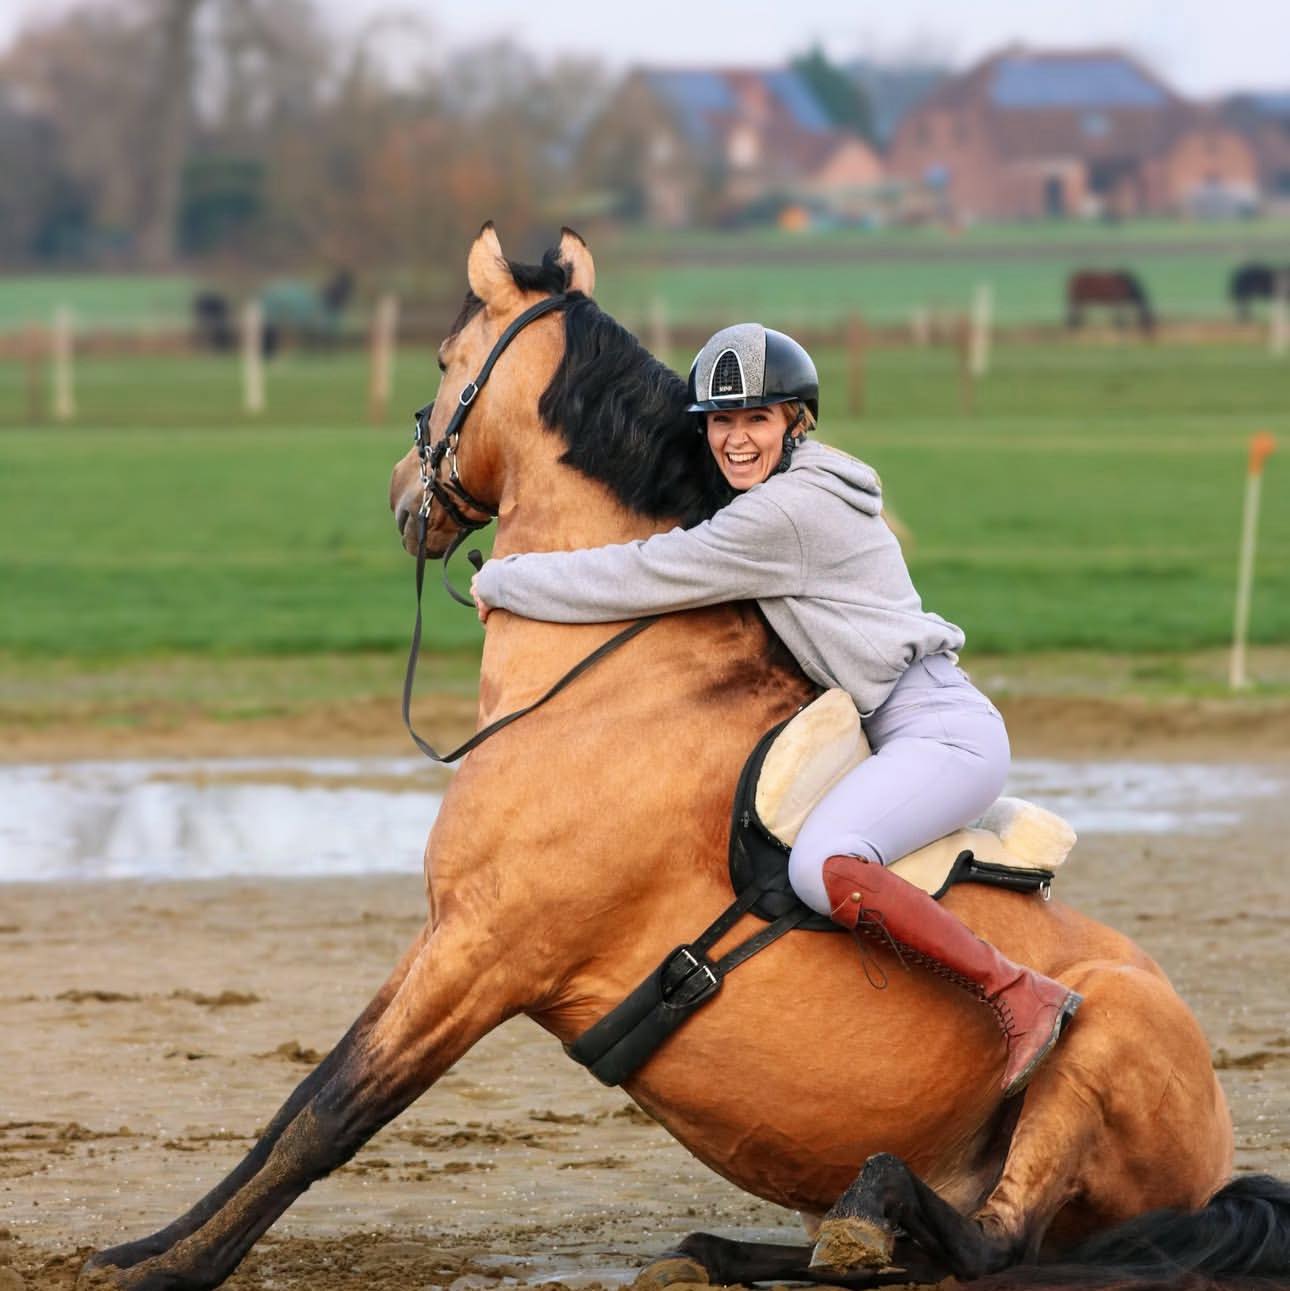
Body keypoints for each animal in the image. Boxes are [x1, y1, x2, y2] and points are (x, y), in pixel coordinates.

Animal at [81, 225, 1288, 1290]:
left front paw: (170, 1269)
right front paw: (139, 1247)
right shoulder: (451, 941)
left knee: (991, 1243)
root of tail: (1217, 1156)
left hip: (1102, 1050)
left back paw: (874, 1206)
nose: (398, 495)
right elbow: (296, 1111)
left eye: (444, 360)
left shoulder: (482, 951)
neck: (610, 677)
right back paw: (738, 1248)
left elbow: (326, 1113)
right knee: (932, 1250)